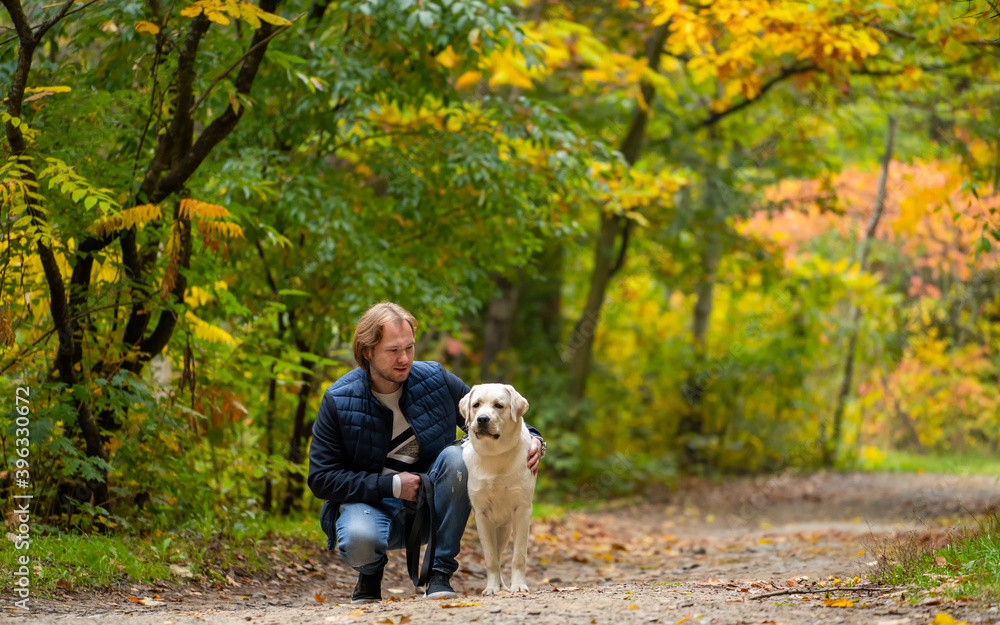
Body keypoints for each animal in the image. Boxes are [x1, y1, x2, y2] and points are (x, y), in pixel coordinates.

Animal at [460, 382, 540, 592]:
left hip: (505, 528)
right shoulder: (481, 514)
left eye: (499, 405)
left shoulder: (523, 510)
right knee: (496, 554)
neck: (494, 455)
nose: (482, 419)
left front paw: (518, 586)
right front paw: (491, 588)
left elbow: (518, 556)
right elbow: (490, 558)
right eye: (476, 405)